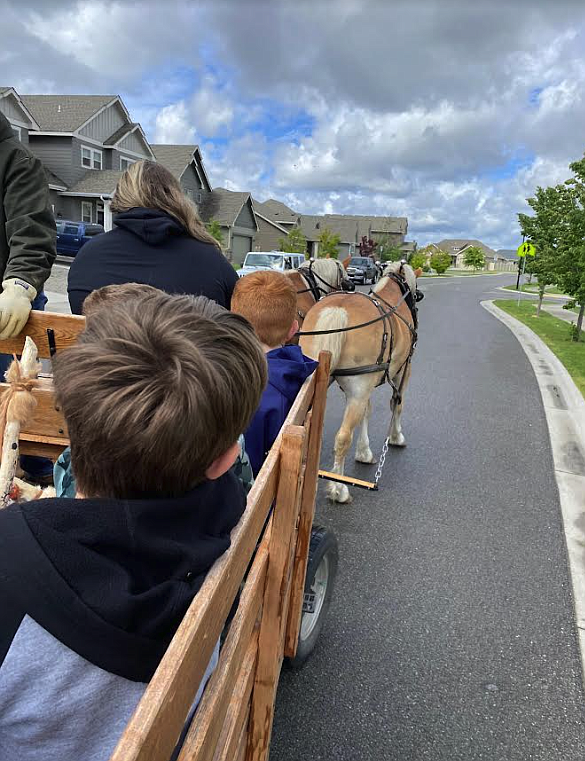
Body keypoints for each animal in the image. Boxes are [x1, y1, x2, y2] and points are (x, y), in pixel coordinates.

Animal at [298, 262, 418, 504]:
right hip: (358, 391)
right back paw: (339, 489)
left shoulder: (365, 386)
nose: (419, 295)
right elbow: (397, 404)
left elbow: (367, 413)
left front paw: (364, 452)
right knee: (343, 437)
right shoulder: (403, 371)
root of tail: (337, 309)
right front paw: (396, 437)